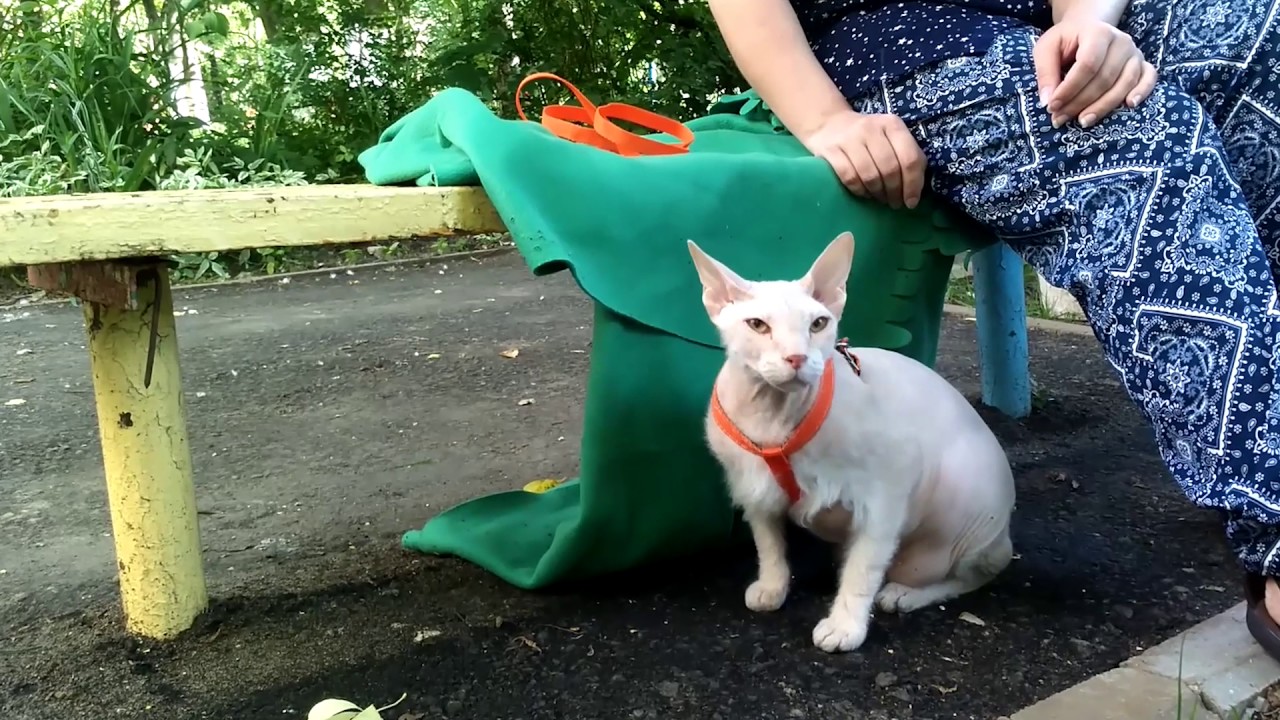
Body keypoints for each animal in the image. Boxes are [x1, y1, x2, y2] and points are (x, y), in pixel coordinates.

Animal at [687, 231, 1016, 653]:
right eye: (757, 325)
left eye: (818, 324)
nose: (797, 357)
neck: (773, 417)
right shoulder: (751, 487)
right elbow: (769, 543)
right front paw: (773, 586)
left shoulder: (888, 491)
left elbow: (864, 568)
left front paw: (846, 625)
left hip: (967, 503)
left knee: (972, 573)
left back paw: (905, 593)